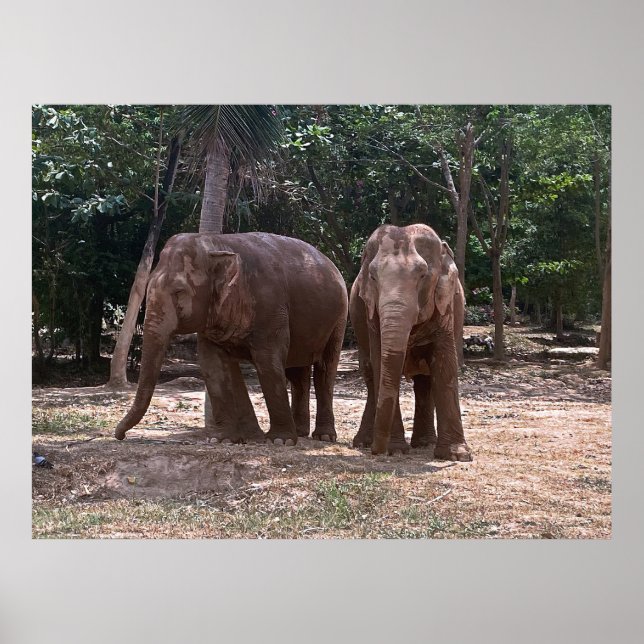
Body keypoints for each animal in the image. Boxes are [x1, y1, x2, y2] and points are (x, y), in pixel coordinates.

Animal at [115, 232, 348, 446]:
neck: (217, 243)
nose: (120, 436)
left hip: (339, 319)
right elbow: (213, 364)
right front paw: (229, 439)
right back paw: (300, 432)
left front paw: (279, 441)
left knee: (324, 371)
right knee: (298, 374)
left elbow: (268, 363)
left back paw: (324, 436)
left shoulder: (271, 310)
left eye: (179, 291)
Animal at [349, 224, 472, 460]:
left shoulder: (445, 304)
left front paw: (457, 456)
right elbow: (381, 364)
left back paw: (424, 444)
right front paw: (396, 450)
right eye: (373, 277)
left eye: (423, 275)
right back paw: (363, 442)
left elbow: (445, 366)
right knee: (371, 375)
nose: (376, 451)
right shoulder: (371, 313)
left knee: (425, 381)